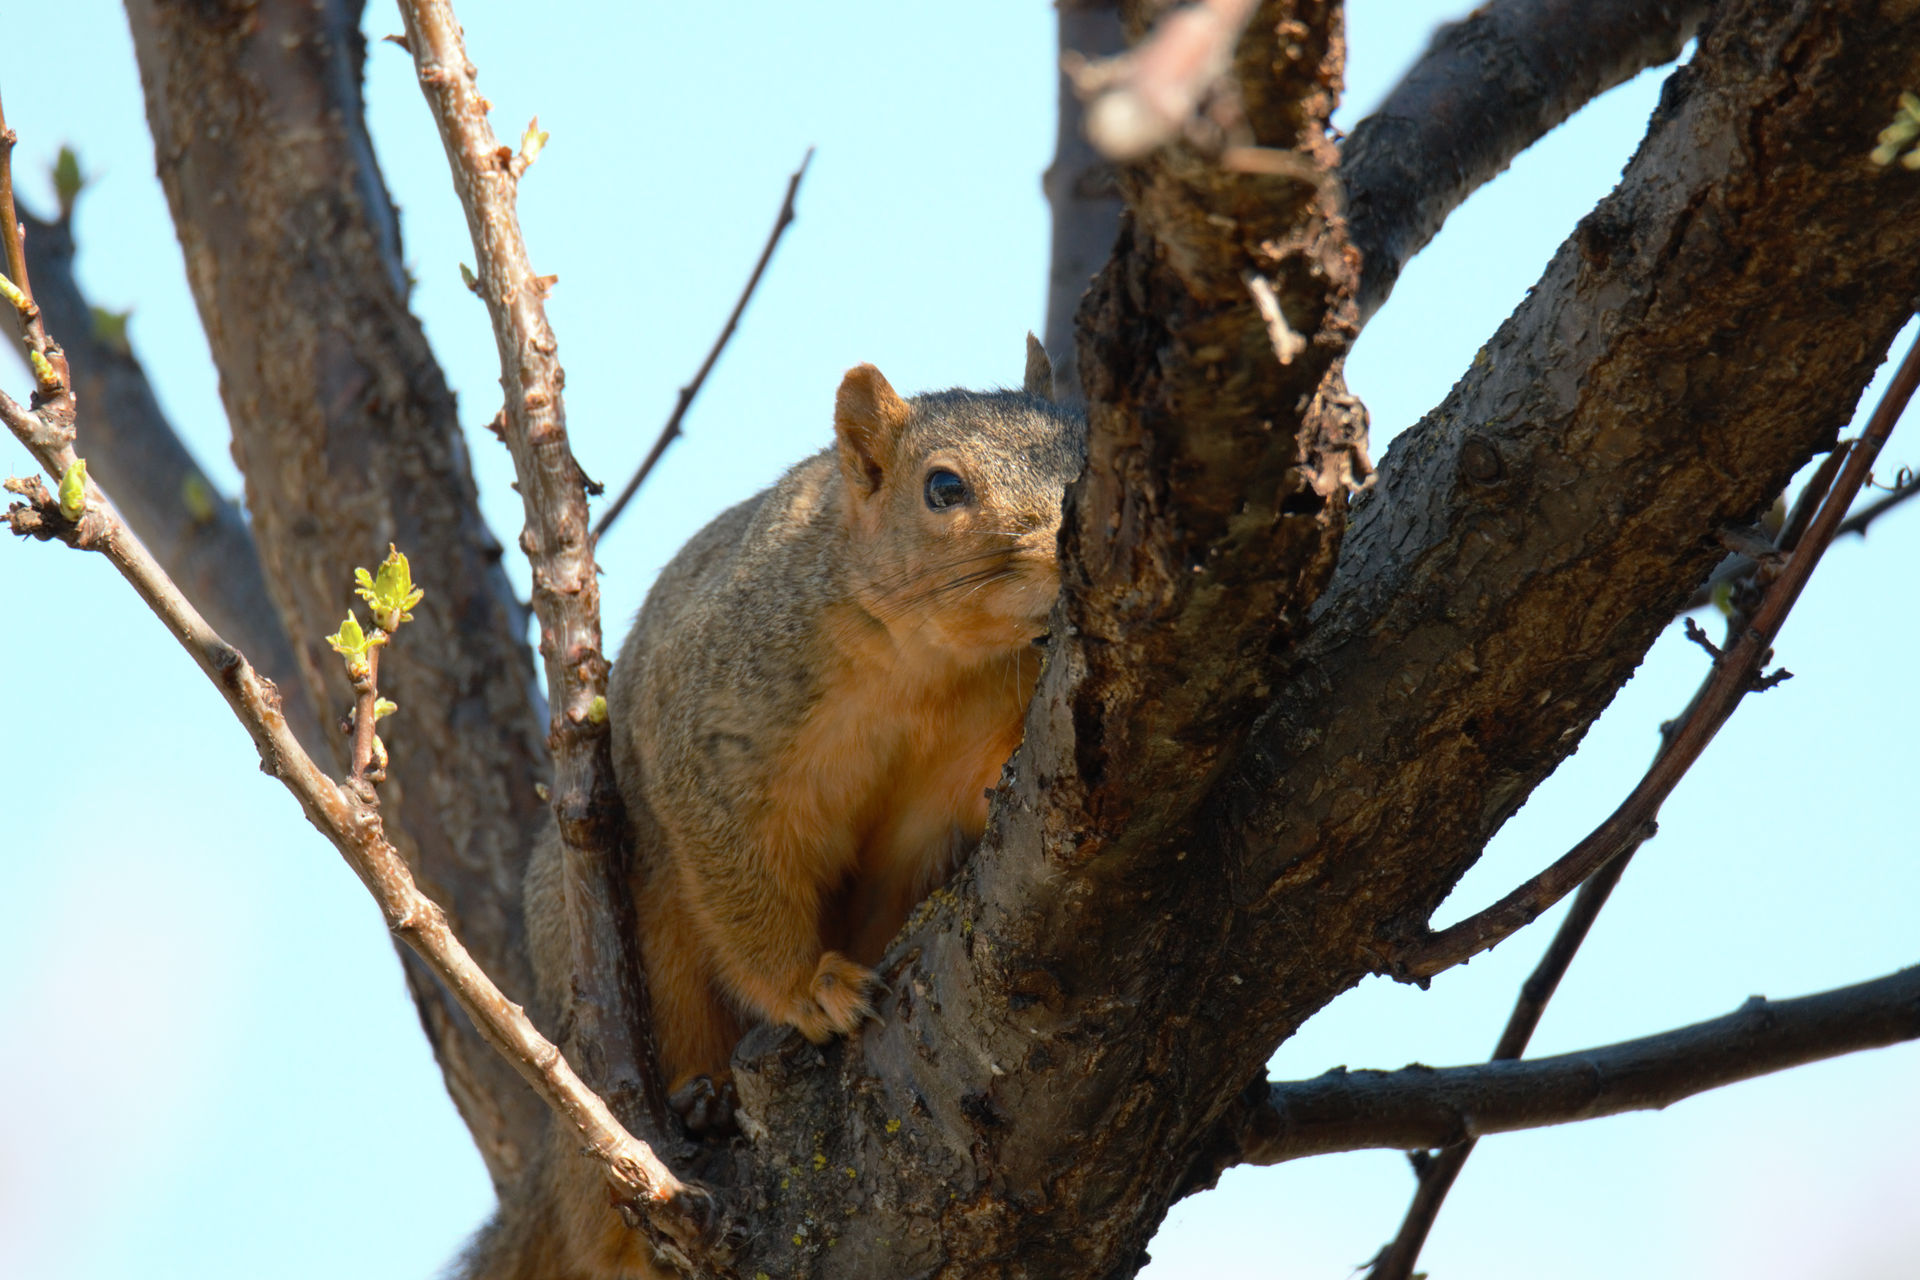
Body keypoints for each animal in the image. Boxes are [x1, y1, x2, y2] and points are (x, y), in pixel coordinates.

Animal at [475, 337, 1084, 1280]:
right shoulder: (717, 727)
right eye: (944, 487)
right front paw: (810, 989)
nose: (1065, 539)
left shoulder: (975, 736)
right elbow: (738, 870)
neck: (929, 668)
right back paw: (691, 1113)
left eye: (1086, 445)